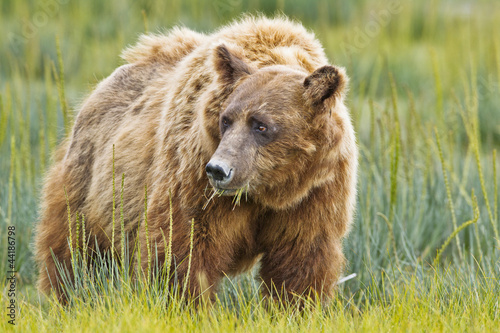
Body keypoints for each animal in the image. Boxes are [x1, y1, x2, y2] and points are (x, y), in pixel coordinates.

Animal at [34, 16, 356, 304]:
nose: (219, 170)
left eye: (261, 125)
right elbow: (182, 249)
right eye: (227, 120)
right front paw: (185, 304)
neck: (268, 190)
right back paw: (71, 295)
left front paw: (293, 307)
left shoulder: (314, 194)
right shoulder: (194, 177)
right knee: (76, 250)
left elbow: (300, 261)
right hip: (91, 181)